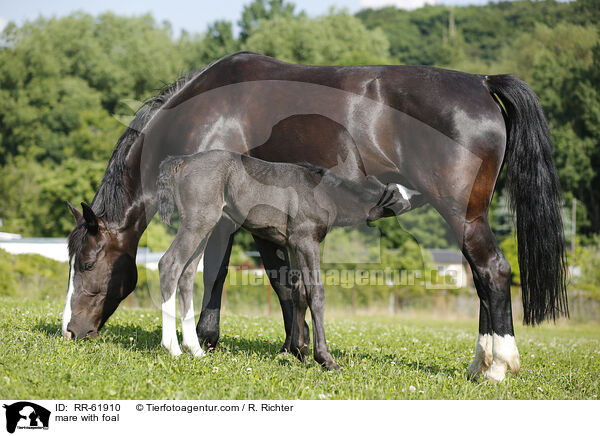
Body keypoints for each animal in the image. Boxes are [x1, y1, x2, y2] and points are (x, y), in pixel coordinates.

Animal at [155, 149, 410, 368]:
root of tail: (184, 161)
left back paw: (195, 349)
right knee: (170, 264)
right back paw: (172, 348)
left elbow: (299, 293)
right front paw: (325, 359)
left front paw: (300, 351)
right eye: (397, 196)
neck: (325, 193)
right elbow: (316, 293)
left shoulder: (293, 245)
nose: (410, 203)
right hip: (198, 222)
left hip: (206, 227)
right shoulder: (307, 241)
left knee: (187, 274)